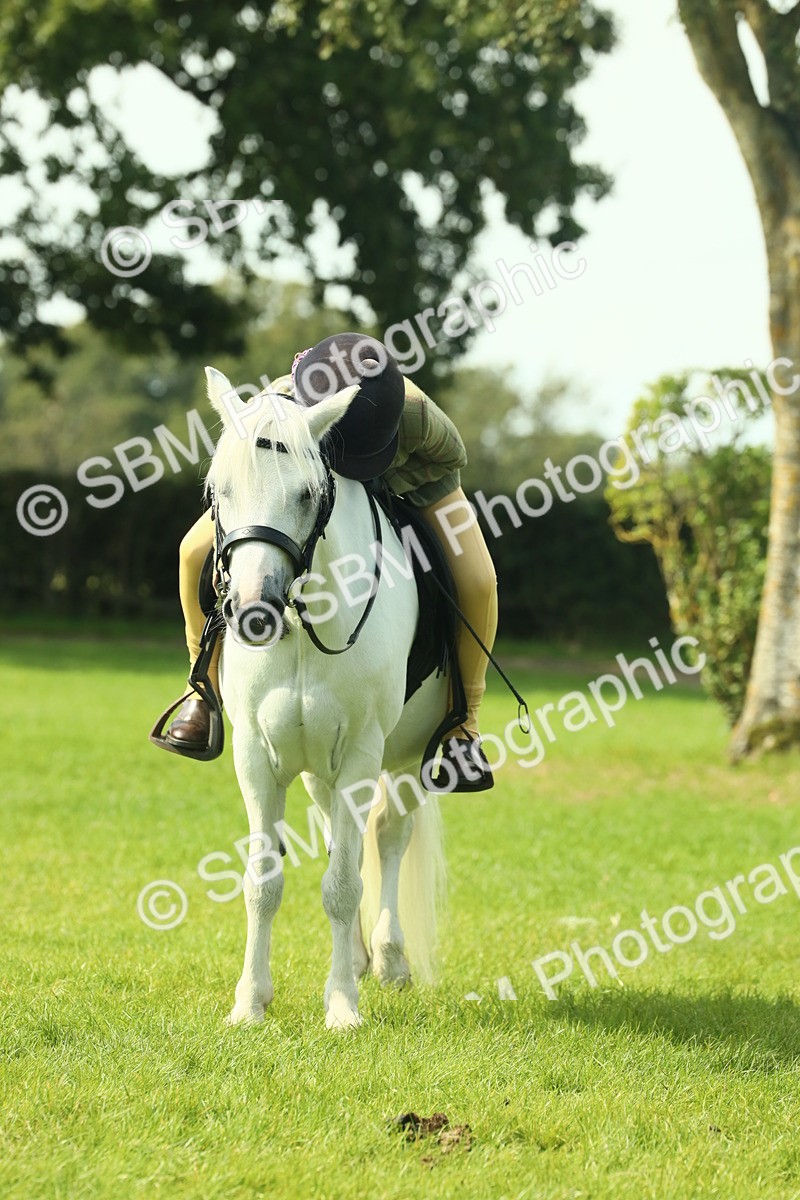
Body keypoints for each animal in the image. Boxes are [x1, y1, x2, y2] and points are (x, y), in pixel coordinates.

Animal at [204, 367, 451, 1030]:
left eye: (306, 494)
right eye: (218, 492)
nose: (255, 610)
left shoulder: (364, 756)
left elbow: (343, 887)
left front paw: (341, 1006)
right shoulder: (256, 759)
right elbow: (263, 882)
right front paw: (249, 1002)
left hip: (405, 758)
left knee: (388, 838)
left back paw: (388, 959)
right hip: (319, 768)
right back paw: (365, 958)